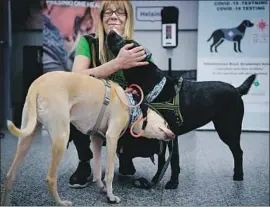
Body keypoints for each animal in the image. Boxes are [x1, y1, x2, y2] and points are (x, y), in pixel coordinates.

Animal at [106, 30, 255, 189]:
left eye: (127, 42)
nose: (111, 31)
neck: (154, 84)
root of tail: (237, 90)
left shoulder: (172, 134)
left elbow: (174, 160)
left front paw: (173, 182)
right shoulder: (161, 134)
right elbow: (161, 160)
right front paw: (156, 179)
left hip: (228, 129)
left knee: (238, 152)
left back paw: (238, 175)